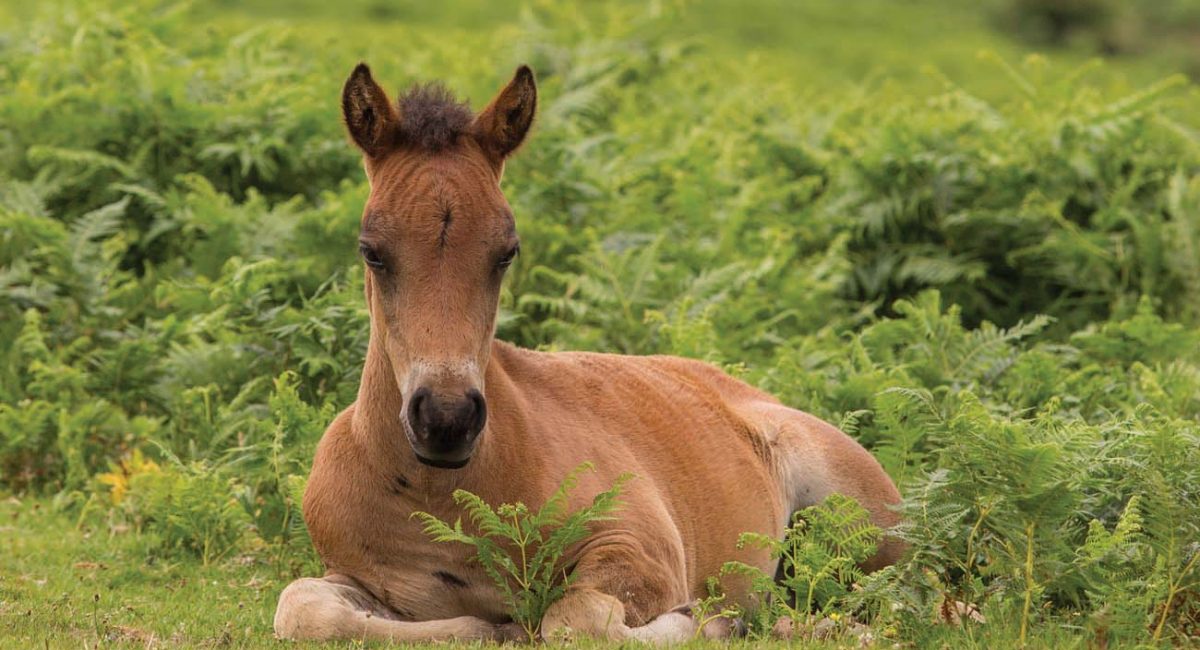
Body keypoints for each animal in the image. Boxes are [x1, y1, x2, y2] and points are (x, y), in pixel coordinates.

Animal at [274, 63, 902, 642]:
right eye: (371, 250)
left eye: (507, 252)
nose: (446, 419)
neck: (441, 496)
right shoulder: (358, 575)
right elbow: (304, 608)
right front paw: (486, 628)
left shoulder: (638, 544)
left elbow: (576, 620)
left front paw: (704, 622)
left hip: (866, 525)